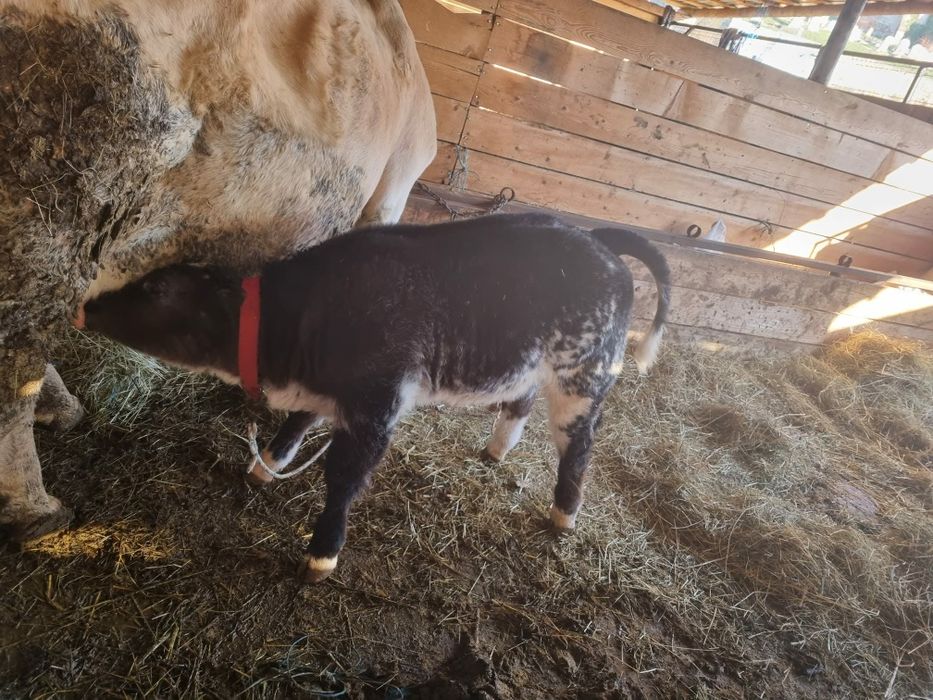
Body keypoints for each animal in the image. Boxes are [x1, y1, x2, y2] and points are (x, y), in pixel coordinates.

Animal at [79, 214, 671, 583]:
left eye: (157, 289)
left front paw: (322, 555)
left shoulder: (377, 401)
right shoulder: (324, 387)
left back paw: (563, 514)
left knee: (580, 443)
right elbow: (293, 427)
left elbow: (343, 476)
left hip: (584, 375)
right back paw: (496, 450)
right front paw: (263, 468)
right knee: (519, 403)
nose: (87, 304)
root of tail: (597, 241)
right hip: (530, 366)